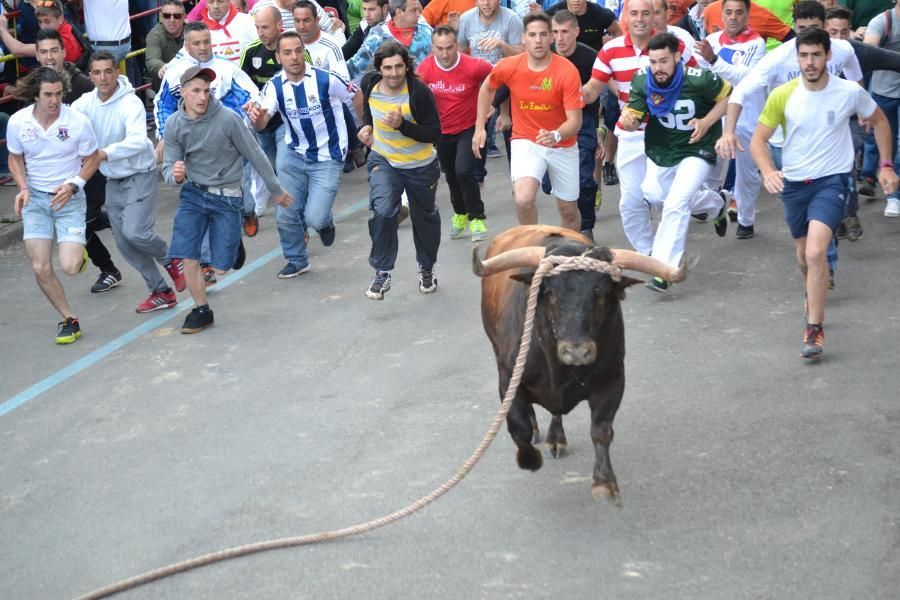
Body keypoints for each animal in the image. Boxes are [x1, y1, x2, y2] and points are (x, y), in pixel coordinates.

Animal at [474, 225, 684, 502]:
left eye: (603, 292)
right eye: (550, 292)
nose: (577, 352)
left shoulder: (612, 380)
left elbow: (601, 430)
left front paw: (604, 482)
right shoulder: (508, 376)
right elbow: (519, 427)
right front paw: (530, 459)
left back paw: (556, 438)